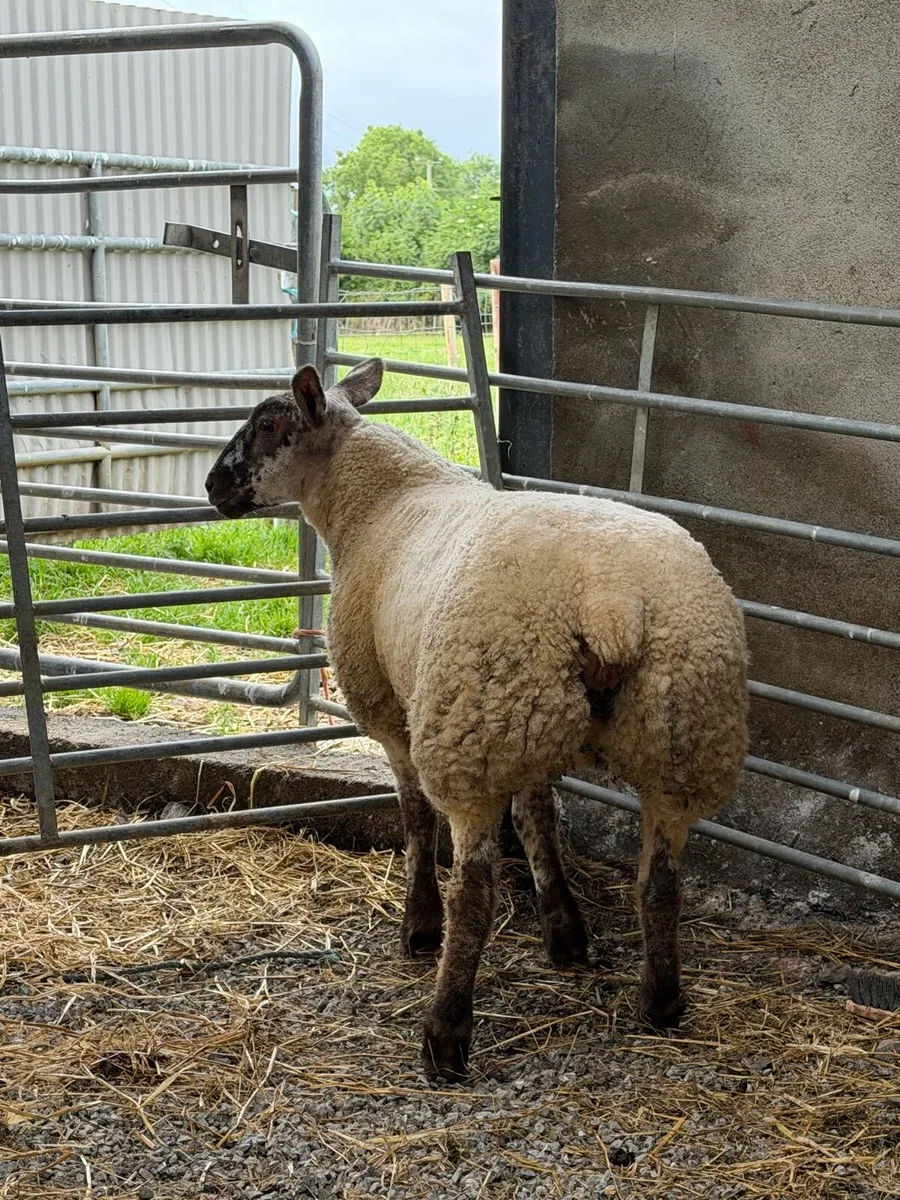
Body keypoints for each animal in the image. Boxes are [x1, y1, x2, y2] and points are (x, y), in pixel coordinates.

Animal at [205, 357, 749, 1081]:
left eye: (268, 425)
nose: (212, 487)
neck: (377, 501)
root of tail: (611, 608)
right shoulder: (529, 737)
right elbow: (540, 819)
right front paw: (564, 931)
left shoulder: (394, 712)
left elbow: (414, 820)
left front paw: (419, 925)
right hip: (671, 731)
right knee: (660, 881)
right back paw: (660, 1001)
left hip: (475, 726)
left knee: (476, 890)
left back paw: (445, 1031)